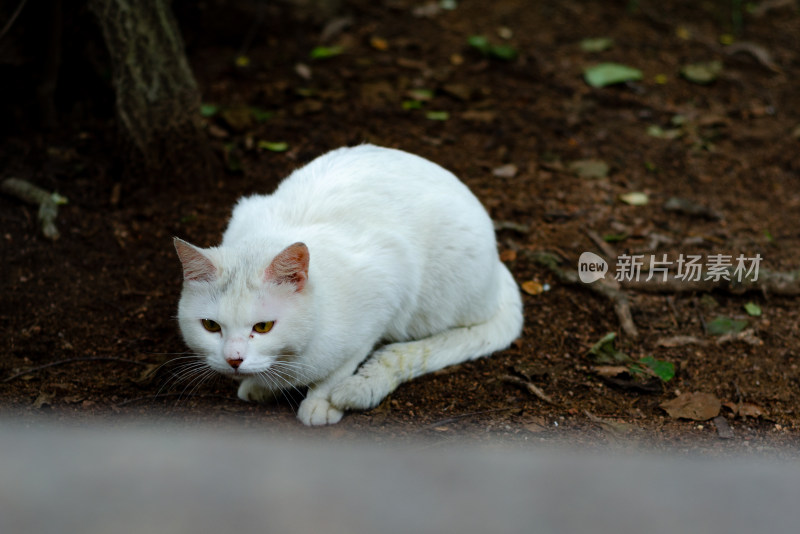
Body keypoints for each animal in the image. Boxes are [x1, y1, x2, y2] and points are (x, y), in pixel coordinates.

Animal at [175, 146, 524, 428]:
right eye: (210, 326)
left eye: (262, 327)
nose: (233, 360)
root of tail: (498, 265)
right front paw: (262, 385)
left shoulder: (390, 280)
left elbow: (343, 365)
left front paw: (321, 401)